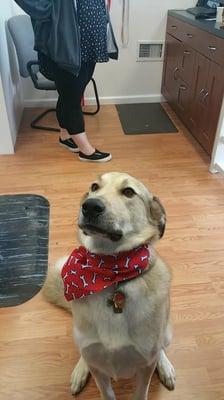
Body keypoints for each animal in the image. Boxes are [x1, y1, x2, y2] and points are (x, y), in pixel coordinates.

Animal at [43, 173, 176, 400]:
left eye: (129, 192)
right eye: (94, 187)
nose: (90, 206)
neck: (109, 275)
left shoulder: (145, 366)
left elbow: (142, 388)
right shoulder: (98, 367)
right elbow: (106, 392)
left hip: (166, 333)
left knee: (161, 350)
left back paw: (165, 367)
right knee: (83, 353)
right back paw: (79, 370)